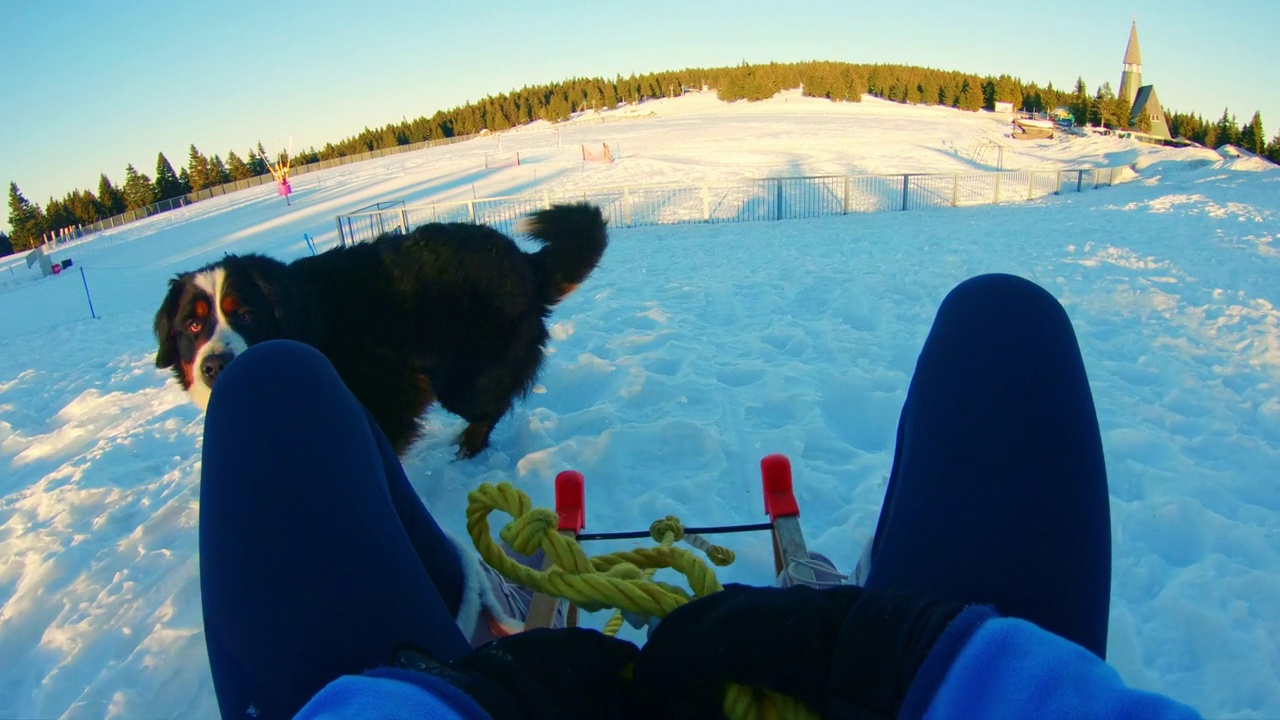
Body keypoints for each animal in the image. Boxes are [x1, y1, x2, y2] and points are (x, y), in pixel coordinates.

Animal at [149, 203, 609, 453]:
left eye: (245, 314)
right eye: (193, 324)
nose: (215, 365)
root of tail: (525, 263)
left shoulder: (388, 395)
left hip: (465, 378)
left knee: (490, 407)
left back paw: (469, 444)